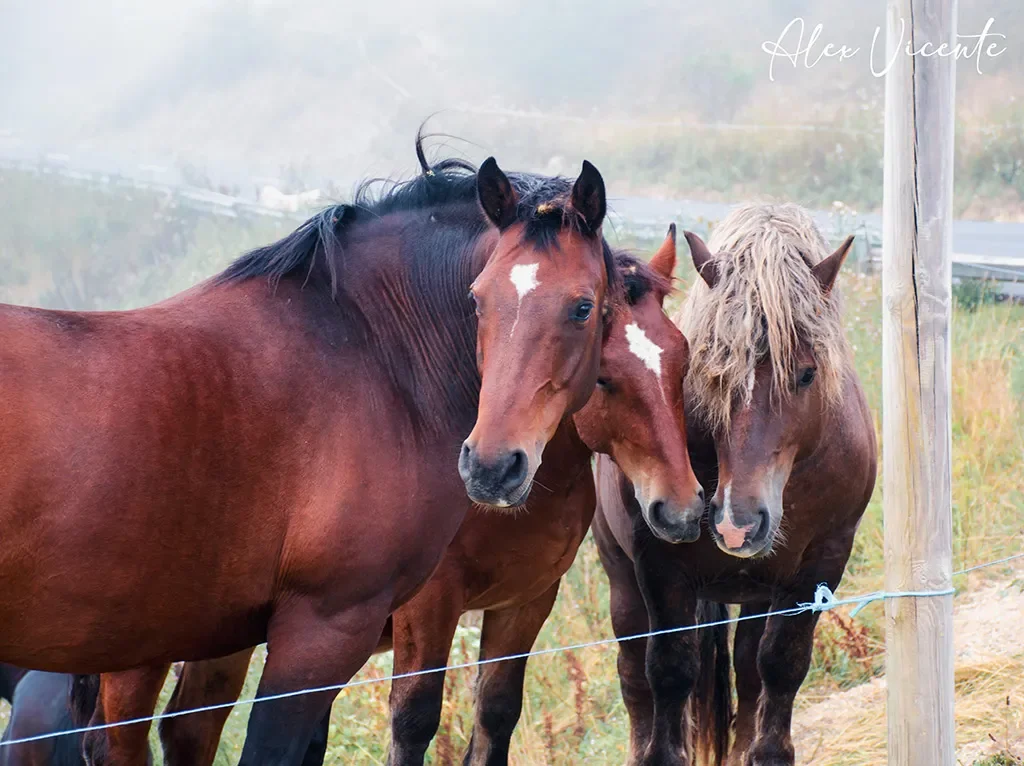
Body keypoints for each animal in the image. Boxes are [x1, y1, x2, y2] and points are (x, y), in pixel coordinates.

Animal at [62, 229, 710, 766]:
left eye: (681, 360)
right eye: (606, 378)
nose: (680, 508)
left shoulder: (524, 603)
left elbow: (495, 715)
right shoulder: (428, 609)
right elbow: (413, 720)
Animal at [593, 202, 877, 766]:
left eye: (807, 374)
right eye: (711, 372)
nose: (736, 526)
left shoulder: (821, 564)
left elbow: (781, 664)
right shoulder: (659, 567)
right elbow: (670, 672)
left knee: (748, 671)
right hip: (622, 579)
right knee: (635, 676)